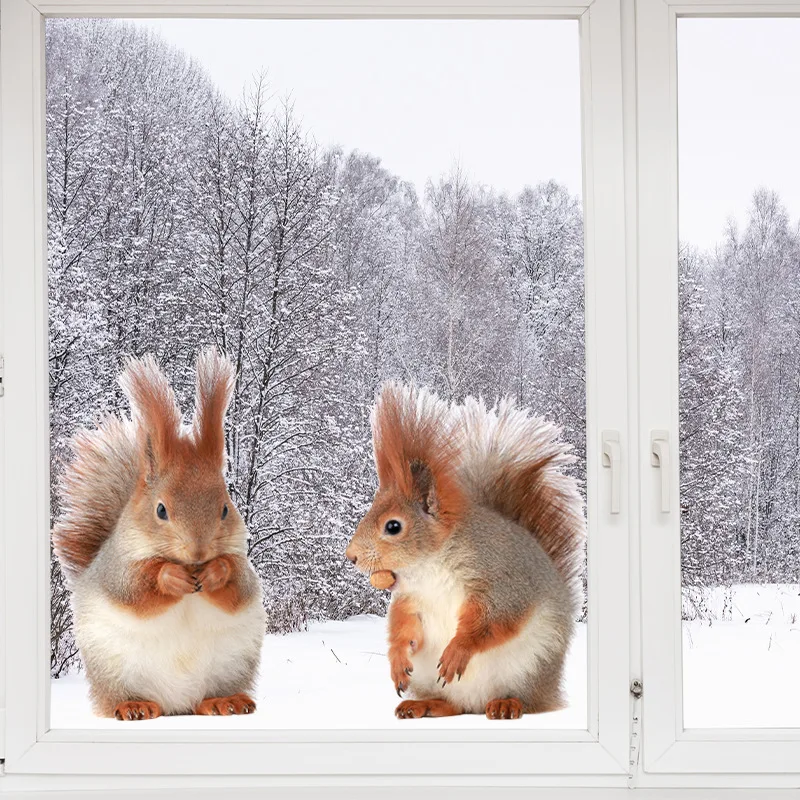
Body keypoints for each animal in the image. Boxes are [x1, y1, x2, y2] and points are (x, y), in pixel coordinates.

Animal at [52, 350, 266, 720]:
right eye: (161, 510)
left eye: (226, 508)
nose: (198, 552)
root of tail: (175, 705)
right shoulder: (115, 568)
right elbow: (133, 588)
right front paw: (170, 576)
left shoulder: (243, 565)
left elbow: (239, 584)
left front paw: (216, 571)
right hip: (114, 669)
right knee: (119, 697)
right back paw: (134, 705)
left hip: (233, 664)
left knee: (207, 697)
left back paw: (224, 701)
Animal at [345, 382, 585, 720]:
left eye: (393, 526)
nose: (350, 556)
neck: (429, 566)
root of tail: (477, 703)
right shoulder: (410, 598)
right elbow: (402, 627)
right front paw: (396, 660)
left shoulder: (502, 581)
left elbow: (492, 620)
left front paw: (458, 650)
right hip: (431, 679)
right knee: (452, 706)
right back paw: (423, 705)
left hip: (531, 666)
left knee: (526, 701)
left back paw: (506, 704)